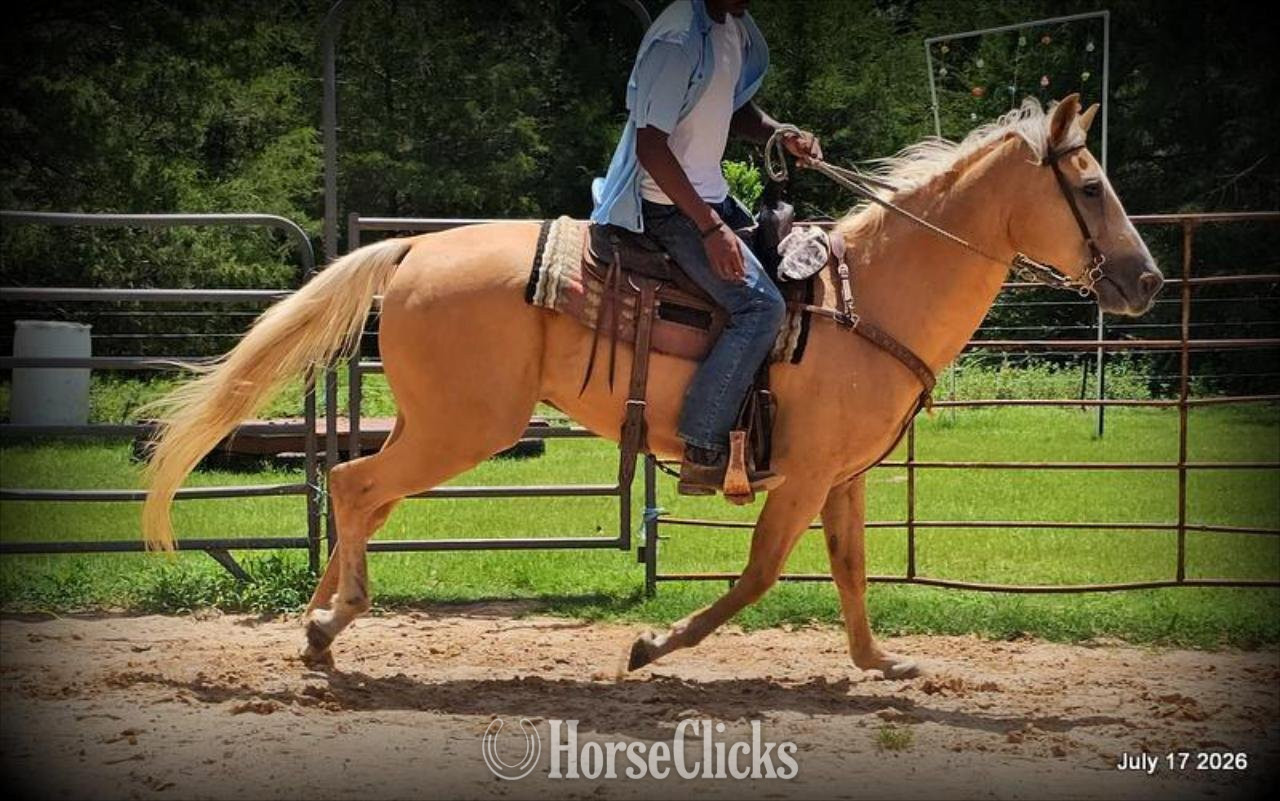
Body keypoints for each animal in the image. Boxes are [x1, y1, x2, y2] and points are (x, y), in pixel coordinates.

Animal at [142, 94, 1163, 676]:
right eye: (1093, 187)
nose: (1147, 279)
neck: (865, 295)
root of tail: (412, 251)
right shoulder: (800, 477)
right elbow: (759, 573)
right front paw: (653, 644)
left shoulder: (843, 476)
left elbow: (851, 569)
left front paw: (881, 662)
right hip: (463, 428)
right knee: (356, 488)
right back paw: (334, 618)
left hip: (433, 426)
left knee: (362, 496)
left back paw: (315, 627)